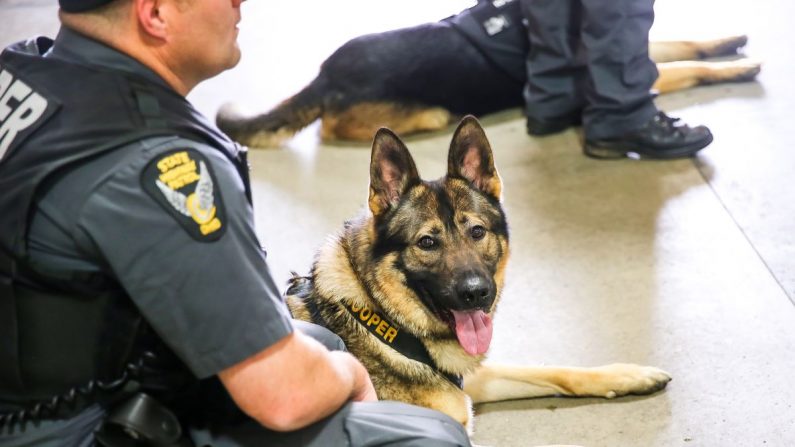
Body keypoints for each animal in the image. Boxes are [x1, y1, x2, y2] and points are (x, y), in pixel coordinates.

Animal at [216, 0, 760, 145]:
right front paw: (740, 67)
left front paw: (730, 42)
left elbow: (686, 43)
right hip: (413, 113)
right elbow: (688, 64)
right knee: (329, 129)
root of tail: (326, 75)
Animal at [284, 114, 672, 434]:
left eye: (477, 232)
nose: (477, 293)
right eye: (427, 242)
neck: (389, 324)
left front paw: (628, 375)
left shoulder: (472, 379)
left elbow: (550, 370)